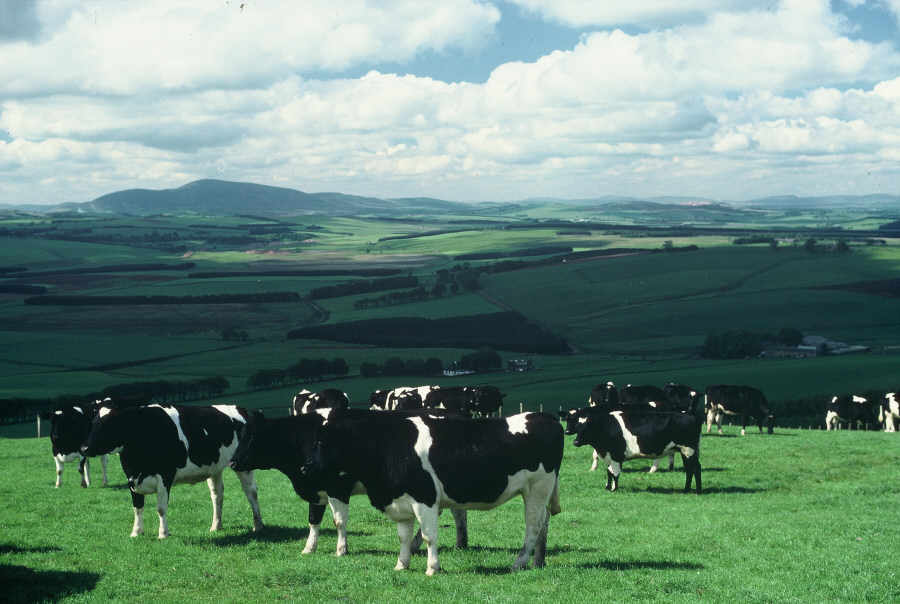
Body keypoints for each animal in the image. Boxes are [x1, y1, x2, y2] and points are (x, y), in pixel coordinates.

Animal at [79, 406, 264, 536]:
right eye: (93, 424)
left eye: (109, 424)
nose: (84, 448)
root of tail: (245, 409)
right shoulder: (132, 480)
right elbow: (137, 507)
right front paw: (136, 532)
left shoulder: (165, 477)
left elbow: (161, 508)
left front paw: (163, 534)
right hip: (215, 468)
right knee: (217, 495)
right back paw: (216, 526)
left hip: (243, 465)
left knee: (251, 492)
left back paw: (258, 525)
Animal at [229, 408, 468, 560]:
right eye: (240, 436)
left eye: (251, 437)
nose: (232, 462)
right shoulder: (316, 488)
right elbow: (313, 520)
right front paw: (309, 548)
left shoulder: (337, 488)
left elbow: (339, 521)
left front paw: (341, 549)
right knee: (457, 511)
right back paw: (458, 542)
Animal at [302, 410, 564, 576]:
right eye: (315, 442)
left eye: (322, 443)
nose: (305, 467)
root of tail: (546, 416)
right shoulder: (401, 502)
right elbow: (403, 537)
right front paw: (401, 565)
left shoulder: (424, 499)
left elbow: (429, 537)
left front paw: (432, 567)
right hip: (540, 491)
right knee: (544, 522)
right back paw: (538, 562)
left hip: (538, 487)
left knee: (533, 526)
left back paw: (519, 562)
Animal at [564, 406, 704, 496]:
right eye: (577, 427)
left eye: (587, 428)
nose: (575, 442)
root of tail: (688, 413)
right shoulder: (608, 455)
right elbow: (609, 472)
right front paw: (608, 487)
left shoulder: (615, 455)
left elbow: (615, 473)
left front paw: (614, 489)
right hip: (685, 451)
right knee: (690, 469)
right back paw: (687, 490)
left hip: (688, 449)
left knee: (695, 469)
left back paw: (697, 491)